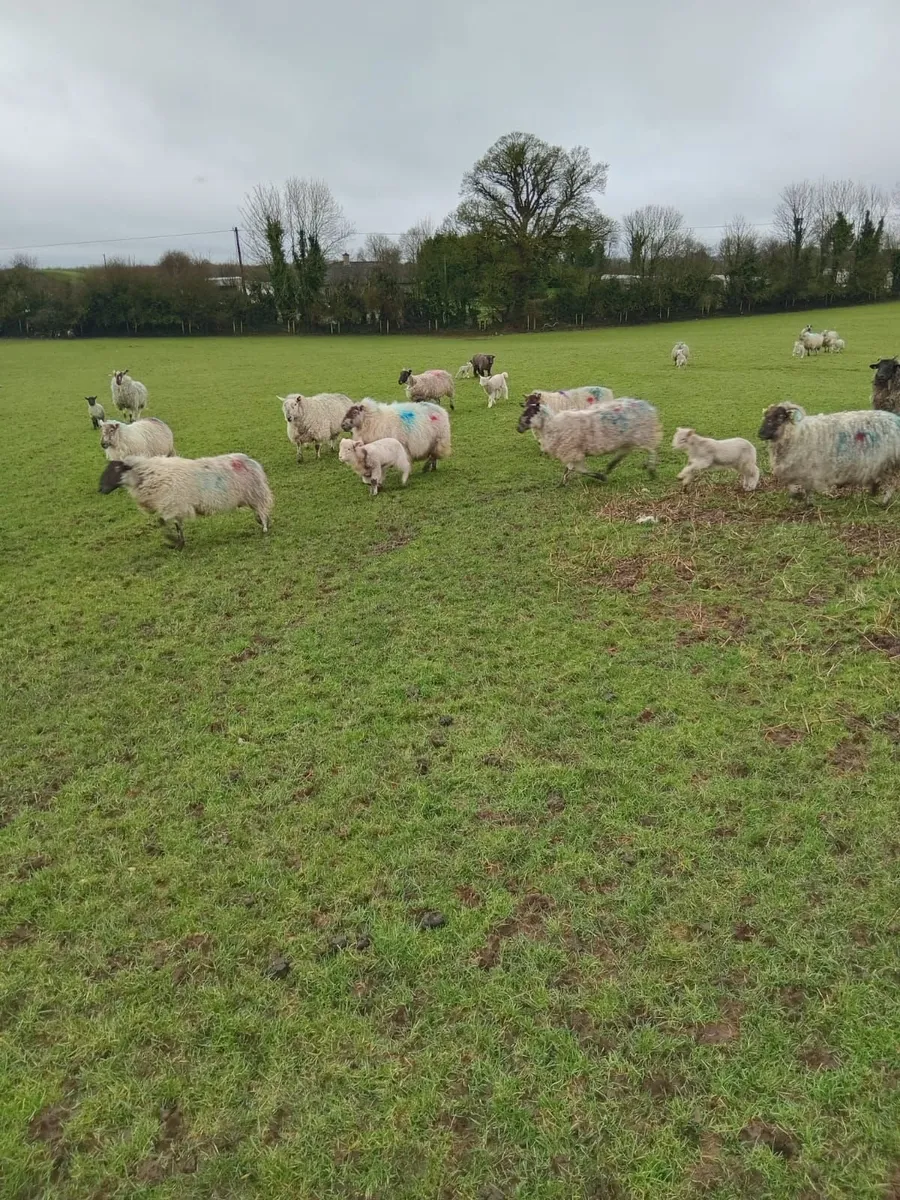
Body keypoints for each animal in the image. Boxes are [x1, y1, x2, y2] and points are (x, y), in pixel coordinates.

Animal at [98, 453, 273, 548]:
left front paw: (172, 541)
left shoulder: (172, 504)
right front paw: (180, 543)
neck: (146, 476)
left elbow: (162, 522)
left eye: (117, 469)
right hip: (250, 496)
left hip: (255, 493)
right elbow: (177, 525)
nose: (101, 489)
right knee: (260, 510)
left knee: (262, 509)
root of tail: (251, 462)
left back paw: (264, 528)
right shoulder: (175, 507)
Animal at [517, 396, 662, 485]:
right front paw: (562, 483)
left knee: (652, 450)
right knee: (624, 452)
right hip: (628, 439)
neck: (552, 424)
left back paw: (651, 470)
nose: (518, 428)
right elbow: (571, 469)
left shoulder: (572, 451)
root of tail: (647, 406)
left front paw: (600, 477)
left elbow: (578, 469)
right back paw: (611, 466)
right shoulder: (572, 453)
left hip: (643, 434)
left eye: (530, 412)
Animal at [758, 402, 900, 503]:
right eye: (766, 416)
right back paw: (874, 493)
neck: (797, 432)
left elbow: (802, 487)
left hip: (888, 462)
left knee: (891, 484)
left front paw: (805, 500)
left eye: (780, 417)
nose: (760, 434)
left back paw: (884, 501)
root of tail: (896, 420)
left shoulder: (806, 469)